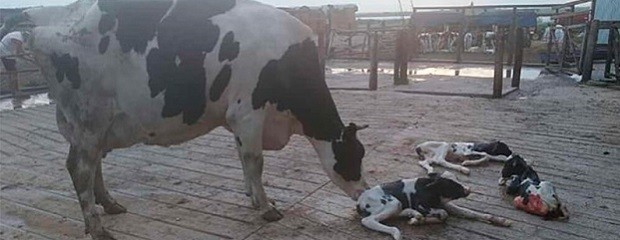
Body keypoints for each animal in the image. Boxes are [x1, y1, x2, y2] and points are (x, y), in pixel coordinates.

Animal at [356, 172, 512, 239]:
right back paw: (397, 232)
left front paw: (500, 220)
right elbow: (443, 214)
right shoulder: (422, 205)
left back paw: (413, 215)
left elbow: (469, 212)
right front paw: (421, 220)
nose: (468, 189)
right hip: (392, 203)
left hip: (396, 205)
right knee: (368, 220)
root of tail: (359, 201)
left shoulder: (444, 204)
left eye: (457, 179)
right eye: (452, 185)